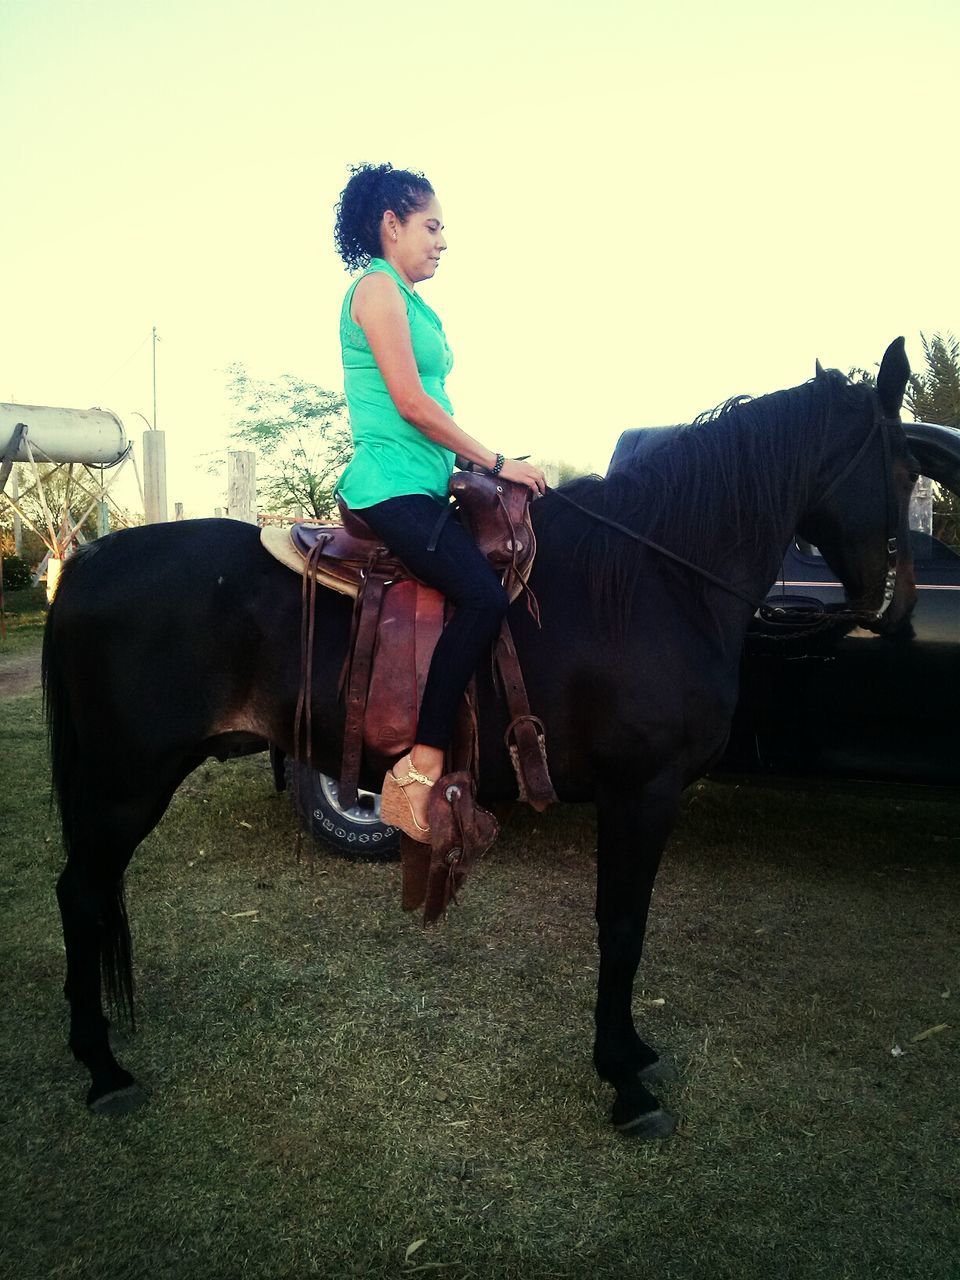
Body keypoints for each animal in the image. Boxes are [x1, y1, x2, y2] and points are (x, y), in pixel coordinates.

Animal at [43, 340, 916, 1141]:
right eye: (908, 471)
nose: (897, 608)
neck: (653, 582)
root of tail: (90, 557)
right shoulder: (640, 794)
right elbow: (622, 928)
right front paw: (624, 1081)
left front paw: (630, 1055)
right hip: (127, 785)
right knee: (80, 894)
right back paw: (102, 1068)